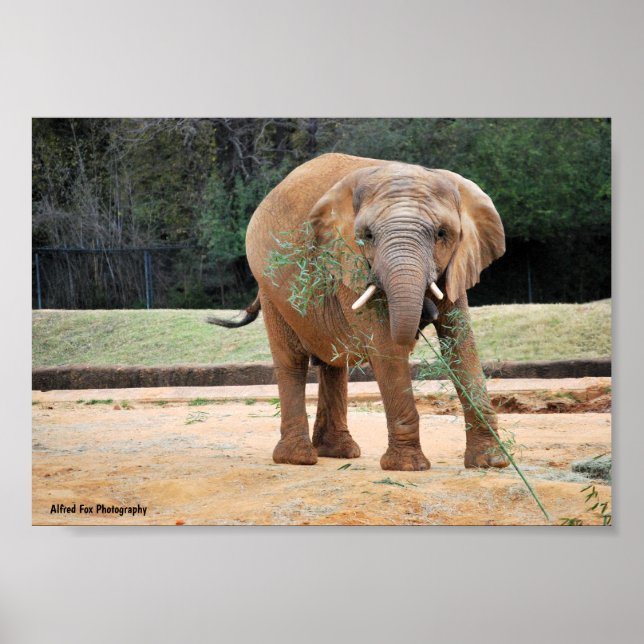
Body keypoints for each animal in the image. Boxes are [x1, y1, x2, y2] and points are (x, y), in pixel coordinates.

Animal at [210, 153, 509, 471]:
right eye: (367, 236)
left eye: (442, 234)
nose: (425, 315)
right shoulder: (348, 263)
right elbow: (386, 347)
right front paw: (408, 467)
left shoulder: (457, 265)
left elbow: (461, 343)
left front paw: (492, 462)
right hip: (271, 288)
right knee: (291, 360)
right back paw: (298, 458)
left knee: (333, 362)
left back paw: (338, 452)